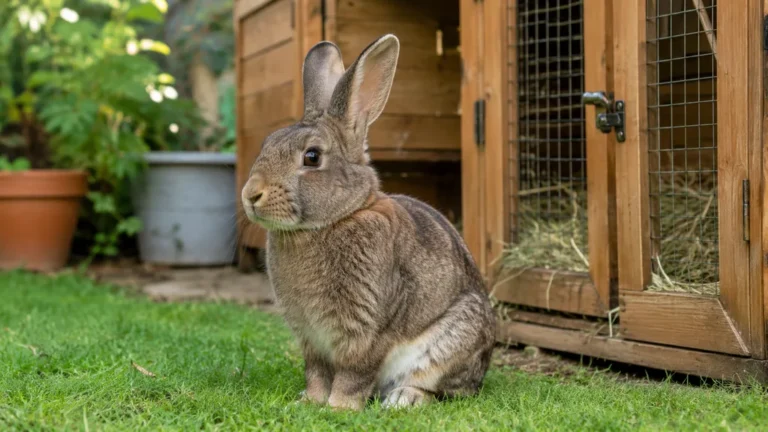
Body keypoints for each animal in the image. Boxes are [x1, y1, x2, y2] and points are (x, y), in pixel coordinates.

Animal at [240, 34, 496, 410]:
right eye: (266, 143)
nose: (250, 194)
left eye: (312, 157)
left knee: (440, 388)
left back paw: (404, 399)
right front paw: (310, 402)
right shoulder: (310, 339)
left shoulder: (367, 327)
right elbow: (316, 372)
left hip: (452, 342)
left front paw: (339, 408)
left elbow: (354, 372)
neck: (332, 221)